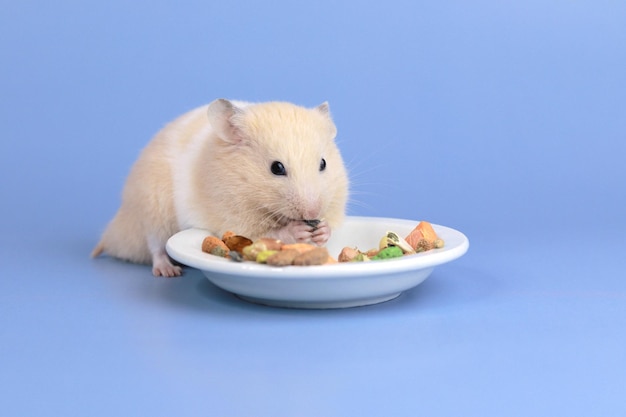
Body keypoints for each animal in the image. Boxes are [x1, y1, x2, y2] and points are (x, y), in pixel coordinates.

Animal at [91, 98, 348, 276]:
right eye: (276, 168)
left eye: (323, 163)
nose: (313, 213)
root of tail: (117, 230)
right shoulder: (233, 217)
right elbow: (265, 234)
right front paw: (297, 230)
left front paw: (322, 230)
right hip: (153, 210)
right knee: (155, 247)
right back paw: (168, 271)